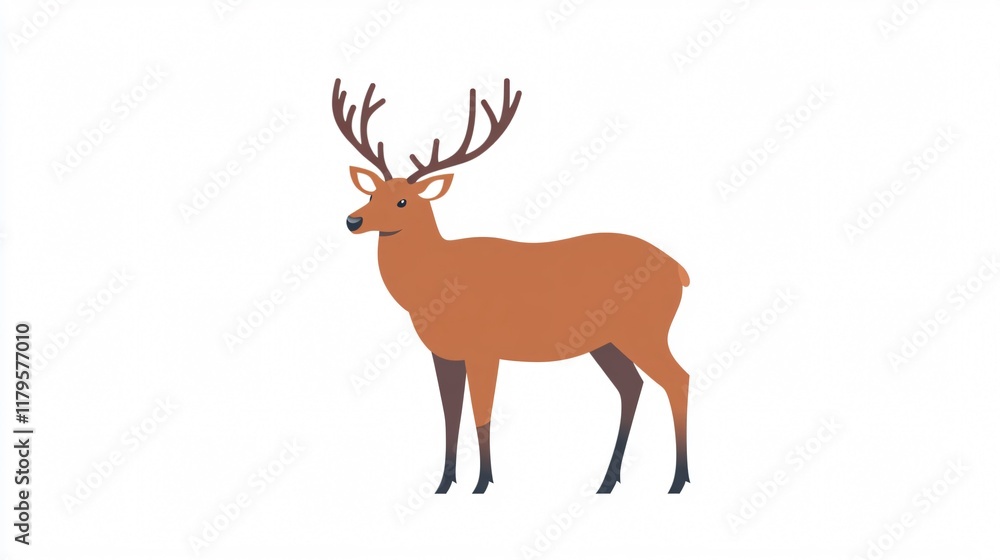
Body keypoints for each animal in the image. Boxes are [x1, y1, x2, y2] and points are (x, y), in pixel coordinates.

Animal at [333, 78, 692, 494]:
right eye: (371, 193)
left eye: (403, 201)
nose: (353, 221)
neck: (435, 285)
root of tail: (680, 271)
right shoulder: (444, 353)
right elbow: (449, 415)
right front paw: (444, 485)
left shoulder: (485, 348)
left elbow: (482, 414)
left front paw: (482, 484)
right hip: (607, 341)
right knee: (632, 386)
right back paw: (607, 482)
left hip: (646, 330)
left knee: (677, 379)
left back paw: (677, 481)